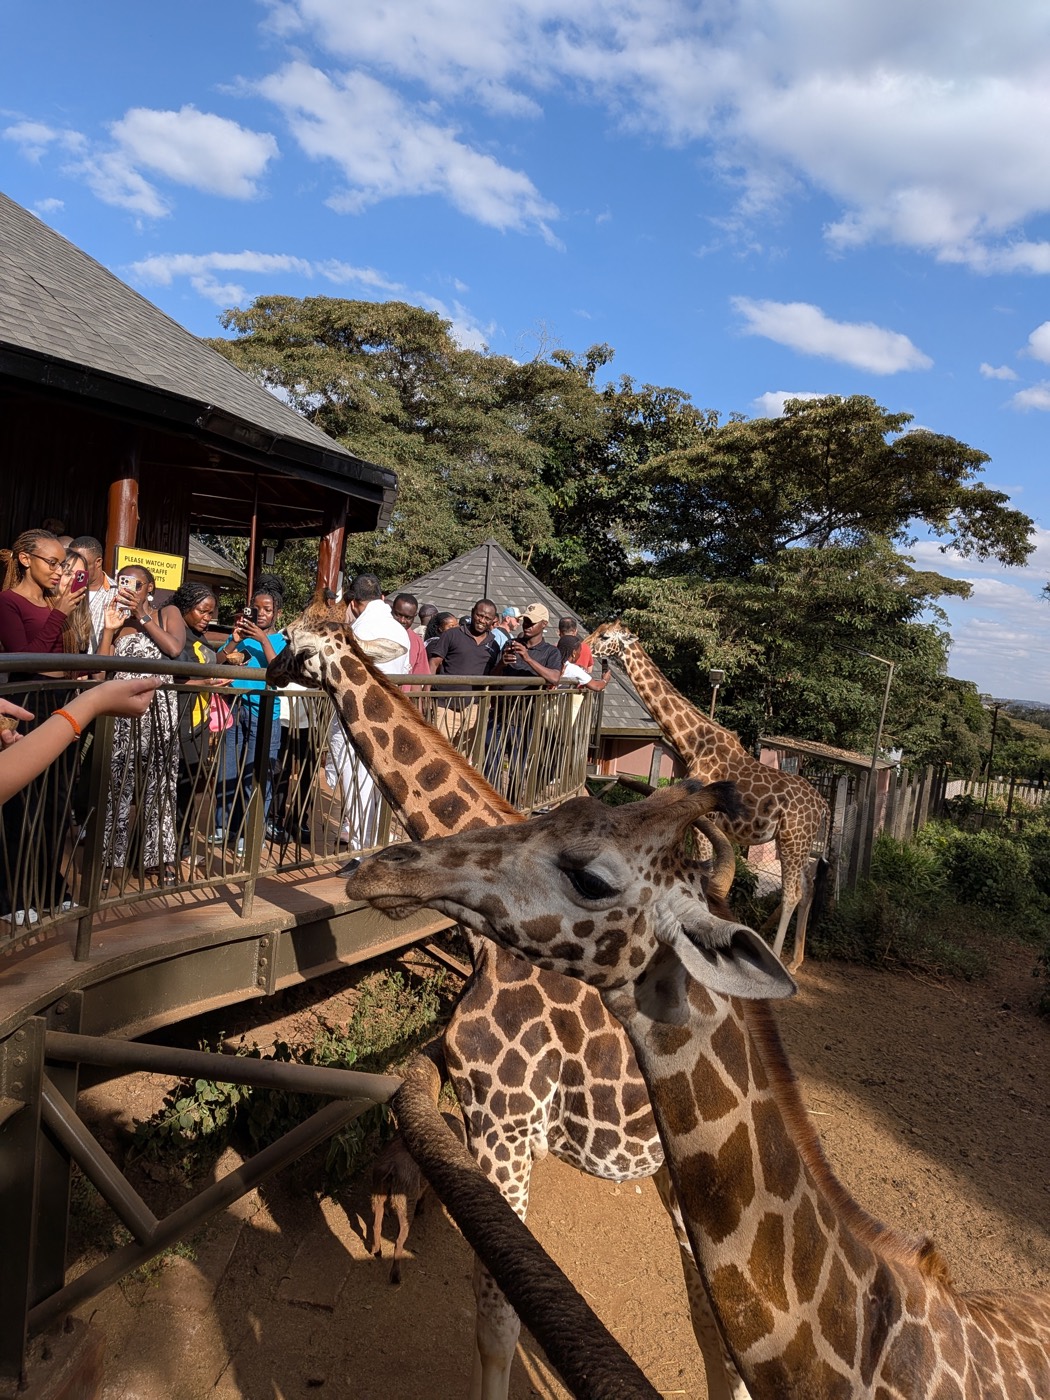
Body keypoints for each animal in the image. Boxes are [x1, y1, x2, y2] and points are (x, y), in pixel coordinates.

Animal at [588, 620, 828, 970]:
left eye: (605, 636)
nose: (585, 644)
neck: (692, 743)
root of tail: (823, 805)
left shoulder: (705, 815)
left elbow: (706, 871)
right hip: (796, 842)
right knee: (808, 887)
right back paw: (795, 959)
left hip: (793, 839)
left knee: (793, 892)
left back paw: (778, 957)